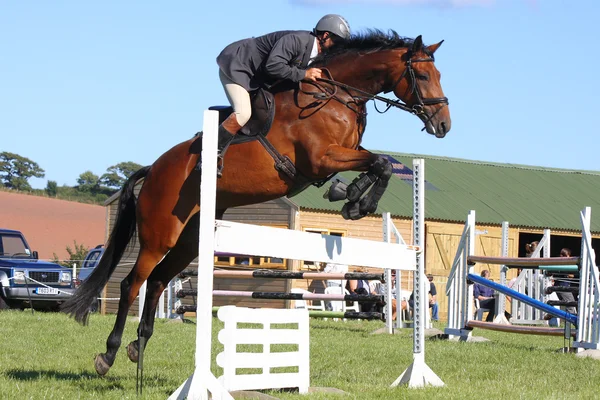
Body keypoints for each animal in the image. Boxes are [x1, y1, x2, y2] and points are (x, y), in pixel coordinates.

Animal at [63, 29, 452, 376]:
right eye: (421, 75)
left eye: (438, 75)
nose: (444, 125)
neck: (335, 94)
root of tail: (154, 169)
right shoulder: (321, 159)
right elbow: (380, 162)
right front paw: (355, 199)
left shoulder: (341, 155)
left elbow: (378, 164)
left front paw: (352, 198)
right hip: (160, 235)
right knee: (132, 284)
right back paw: (108, 354)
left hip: (191, 238)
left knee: (157, 281)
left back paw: (138, 345)